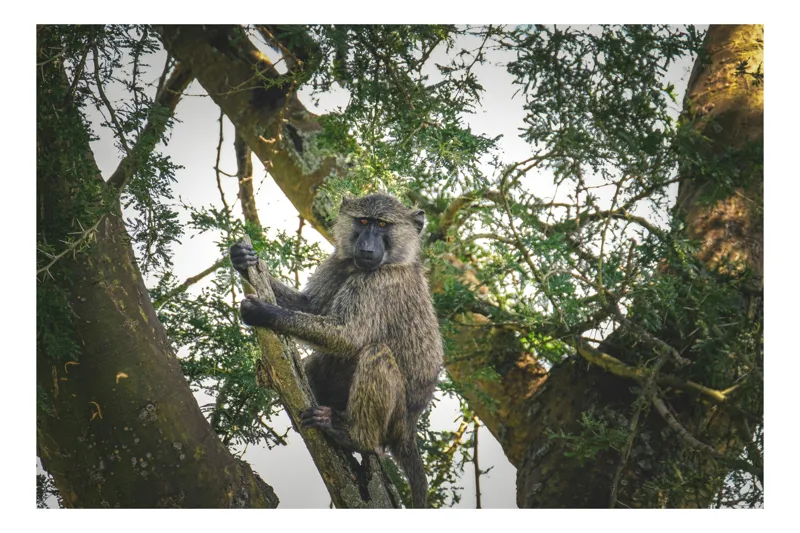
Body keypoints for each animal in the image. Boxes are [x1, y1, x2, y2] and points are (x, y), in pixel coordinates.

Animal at [230, 193, 443, 508]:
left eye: (382, 224)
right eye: (363, 221)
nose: (366, 247)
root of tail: (409, 427)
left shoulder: (378, 283)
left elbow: (348, 337)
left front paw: (264, 312)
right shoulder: (338, 264)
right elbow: (311, 308)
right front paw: (243, 260)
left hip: (394, 418)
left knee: (376, 353)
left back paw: (354, 437)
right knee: (318, 359)